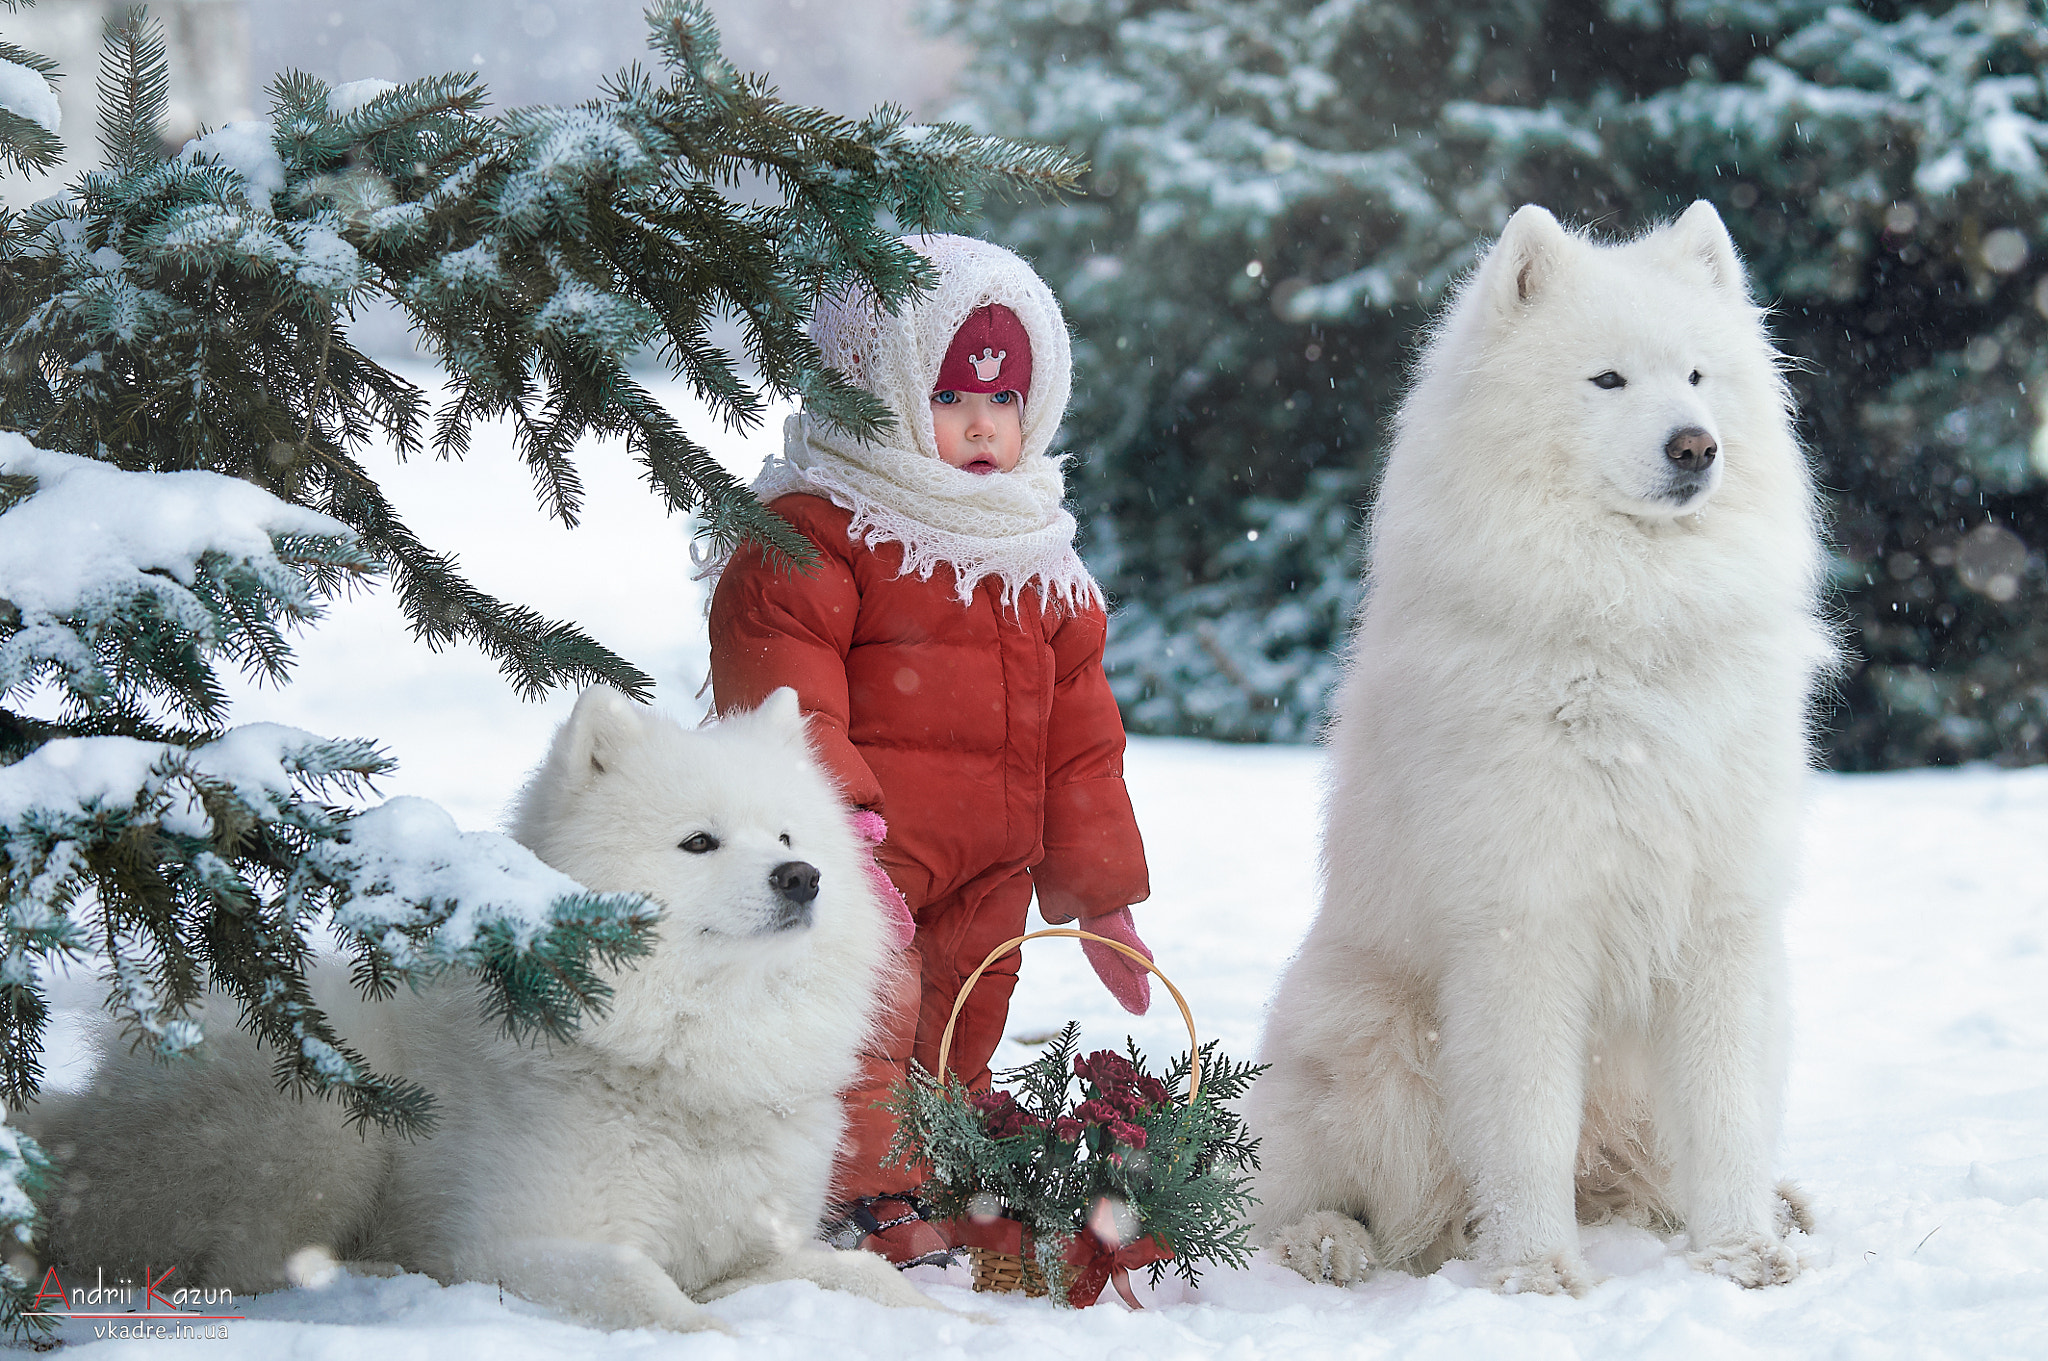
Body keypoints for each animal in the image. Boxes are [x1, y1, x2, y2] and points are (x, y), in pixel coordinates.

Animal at [28, 691, 937, 1326]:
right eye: (699, 842)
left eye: (788, 839)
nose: (801, 878)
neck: (684, 1060)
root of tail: (85, 1110)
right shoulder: (518, 1242)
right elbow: (648, 1291)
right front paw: (725, 1335)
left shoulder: (749, 1248)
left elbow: (864, 1272)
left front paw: (941, 1316)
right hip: (324, 1109)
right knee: (247, 1265)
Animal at [1245, 201, 1843, 1293]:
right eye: (1606, 379)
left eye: (1696, 376)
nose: (1695, 446)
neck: (1626, 634)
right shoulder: (1522, 929)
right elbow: (1524, 1126)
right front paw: (1535, 1275)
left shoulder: (1724, 926)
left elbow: (1727, 1118)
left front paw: (1741, 1251)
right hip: (1371, 1041)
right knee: (1285, 1204)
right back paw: (1329, 1243)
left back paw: (1769, 1209)